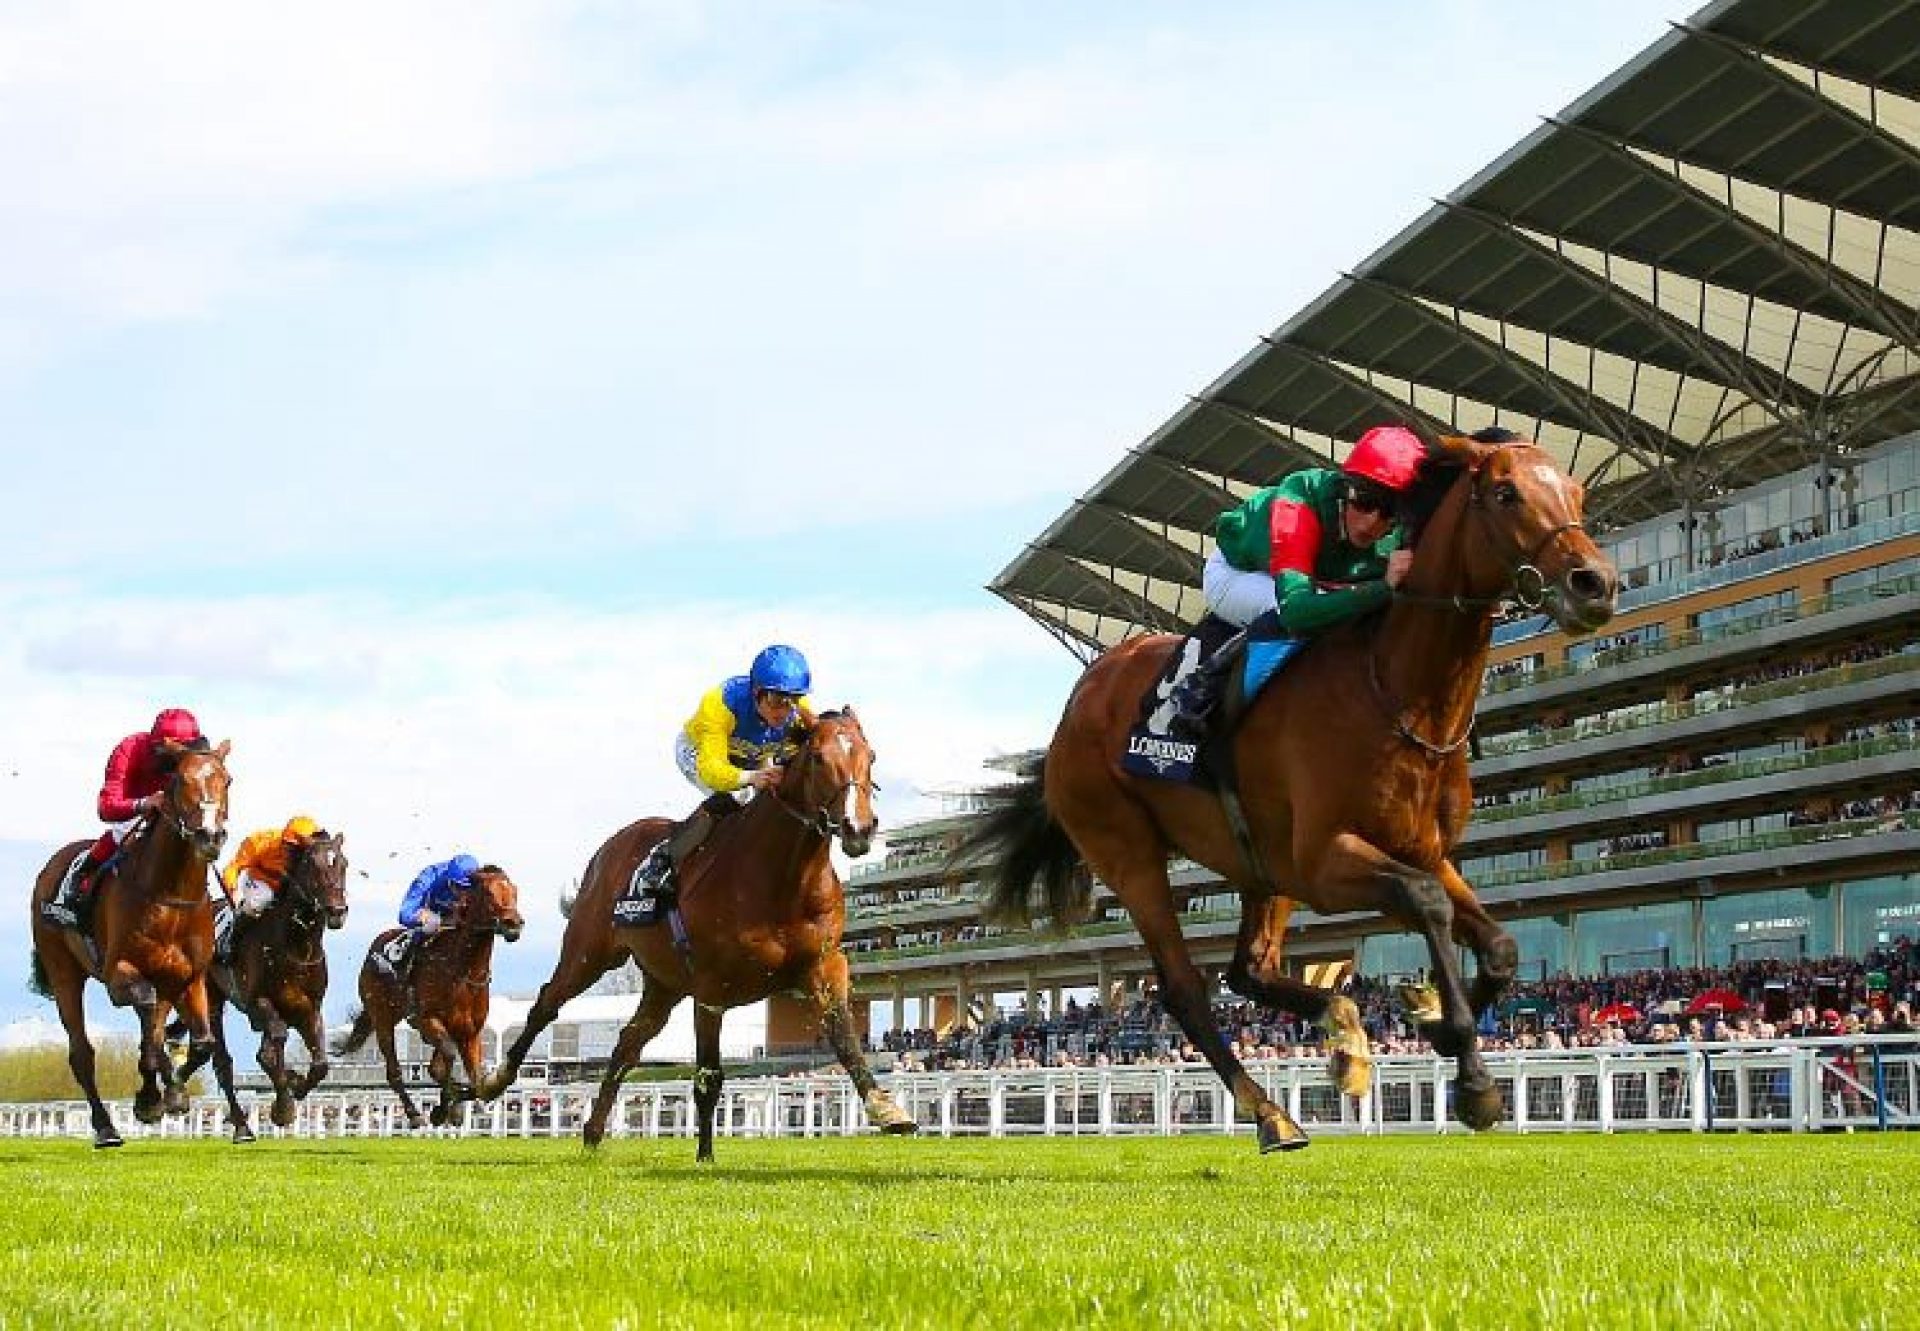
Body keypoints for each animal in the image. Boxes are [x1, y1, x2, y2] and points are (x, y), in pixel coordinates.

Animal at [26, 737, 232, 1144]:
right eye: (178, 781)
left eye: (227, 780)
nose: (209, 836)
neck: (170, 896)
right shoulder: (119, 974)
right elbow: (150, 1030)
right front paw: (159, 1094)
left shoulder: (189, 978)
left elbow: (198, 1044)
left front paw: (166, 1094)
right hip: (62, 971)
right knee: (81, 1052)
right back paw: (106, 1126)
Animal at [206, 825, 349, 1137]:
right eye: (312, 864)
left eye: (344, 864)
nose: (337, 911)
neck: (296, 946)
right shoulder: (257, 1002)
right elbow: (272, 1051)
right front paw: (283, 1108)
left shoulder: (310, 1008)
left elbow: (320, 1064)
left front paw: (297, 1083)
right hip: (211, 997)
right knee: (224, 1062)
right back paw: (242, 1127)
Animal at [334, 860, 522, 1129]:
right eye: (488, 893)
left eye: (515, 890)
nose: (513, 923)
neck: (462, 970)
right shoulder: (427, 1019)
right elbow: (448, 1060)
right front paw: (446, 1108)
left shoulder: (468, 1032)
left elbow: (477, 1081)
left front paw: (453, 1105)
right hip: (383, 1018)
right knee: (394, 1072)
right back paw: (414, 1113)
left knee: (434, 1067)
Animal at [476, 710, 917, 1160]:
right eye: (817, 758)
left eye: (871, 756)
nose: (858, 827)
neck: (782, 879)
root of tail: (607, 850)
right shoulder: (711, 988)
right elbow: (708, 1076)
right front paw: (705, 1156)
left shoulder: (823, 966)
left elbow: (845, 1038)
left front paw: (888, 1110)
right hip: (588, 952)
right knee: (546, 1003)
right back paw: (494, 1081)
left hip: (663, 984)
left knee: (627, 1043)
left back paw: (593, 1133)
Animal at [952, 430, 1612, 1144]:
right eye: (1505, 492)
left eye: (1577, 492)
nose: (1596, 583)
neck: (1399, 691)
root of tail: (1075, 705)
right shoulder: (1325, 861)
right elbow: (1428, 902)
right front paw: (1472, 1076)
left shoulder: (1423, 850)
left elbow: (1500, 945)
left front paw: (1431, 1013)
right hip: (1127, 850)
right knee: (1185, 987)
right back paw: (1271, 1112)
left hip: (1261, 865)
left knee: (1250, 969)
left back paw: (1343, 1036)